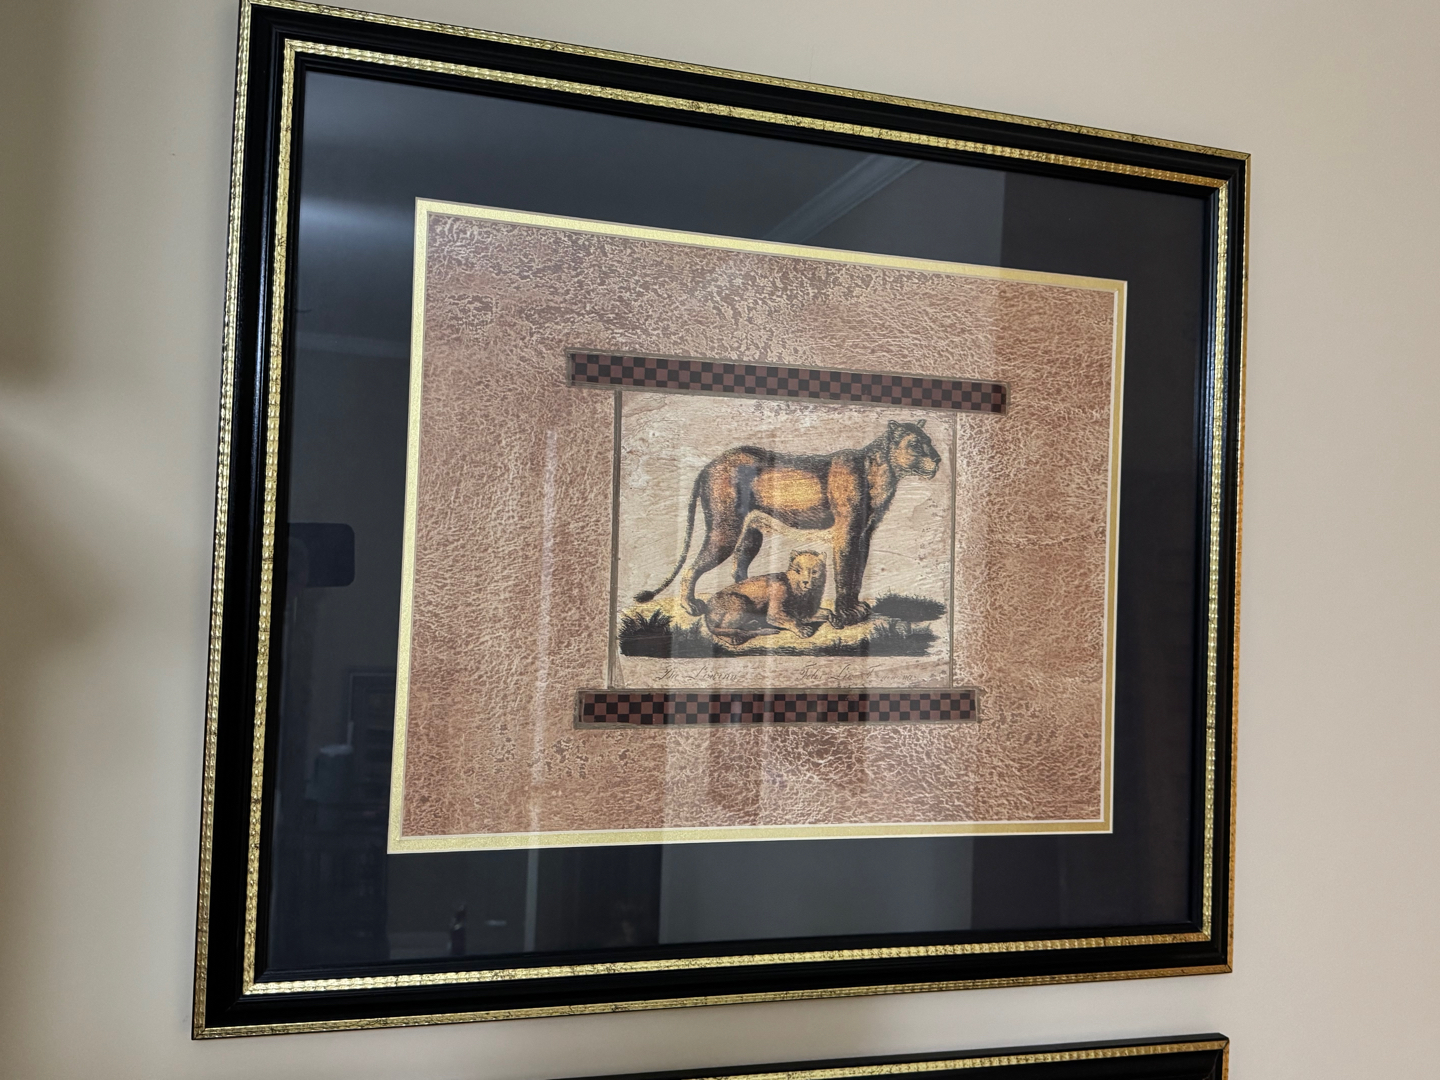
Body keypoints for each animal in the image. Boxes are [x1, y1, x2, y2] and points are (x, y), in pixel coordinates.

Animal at [635, 420, 942, 627]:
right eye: (916, 444)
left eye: (929, 440)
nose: (938, 460)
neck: (882, 471)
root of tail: (709, 464)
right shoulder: (846, 535)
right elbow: (845, 575)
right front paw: (847, 613)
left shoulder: (864, 537)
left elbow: (857, 575)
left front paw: (856, 608)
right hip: (725, 531)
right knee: (692, 569)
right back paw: (690, 606)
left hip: (750, 535)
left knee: (738, 569)